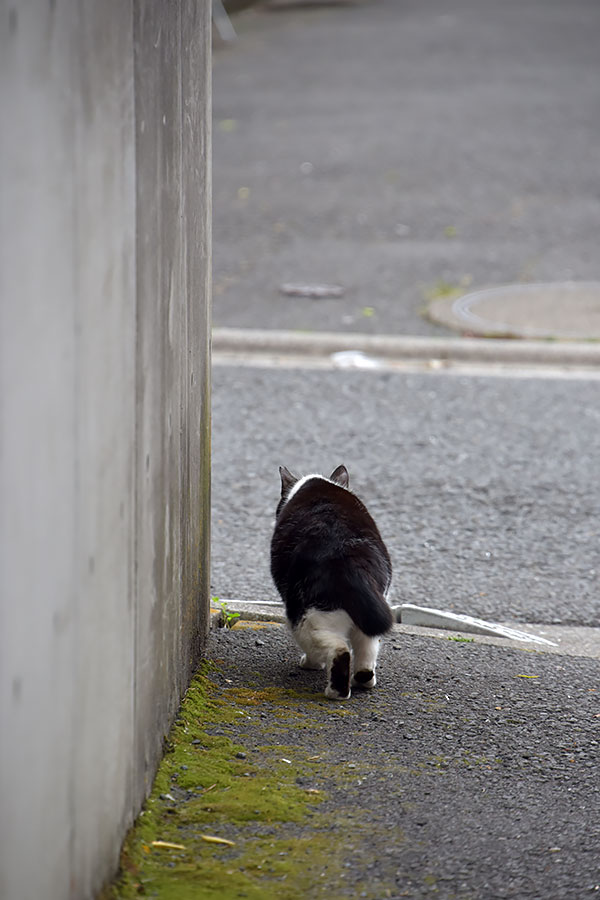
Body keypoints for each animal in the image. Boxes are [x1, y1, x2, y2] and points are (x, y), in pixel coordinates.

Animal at [270, 468, 394, 700]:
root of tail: (351, 556)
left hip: (305, 615)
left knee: (338, 649)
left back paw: (333, 690)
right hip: (369, 610)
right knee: (367, 647)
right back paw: (362, 680)